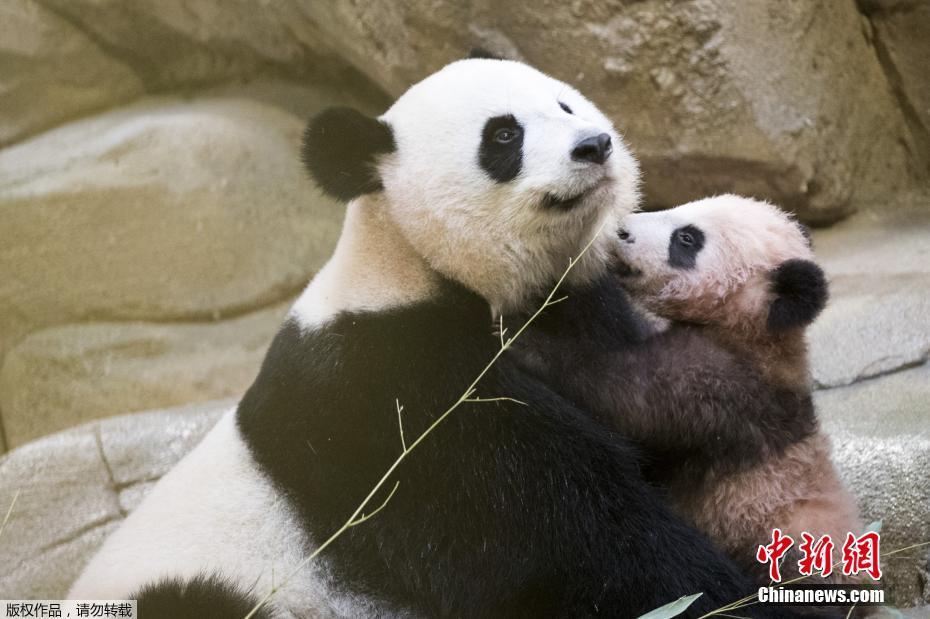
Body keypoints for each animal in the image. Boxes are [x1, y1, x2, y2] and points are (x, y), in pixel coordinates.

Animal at [68, 58, 791, 618]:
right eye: (504, 135)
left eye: (564, 102)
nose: (595, 144)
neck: (414, 264)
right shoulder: (382, 391)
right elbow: (560, 537)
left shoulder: (578, 316)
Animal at [514, 195, 860, 585]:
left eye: (687, 239)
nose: (621, 230)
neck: (758, 334)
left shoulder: (723, 389)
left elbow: (625, 397)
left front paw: (520, 342)